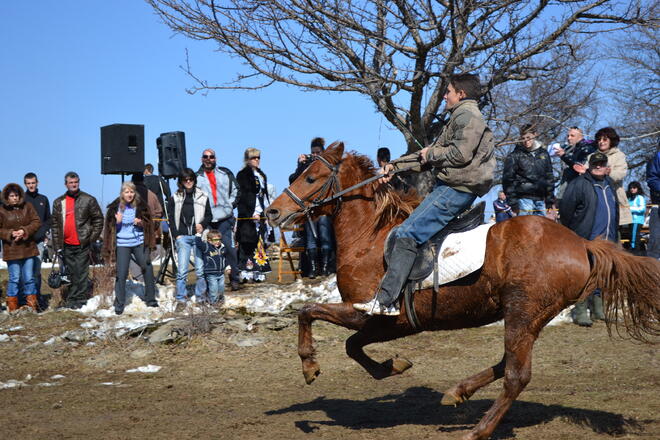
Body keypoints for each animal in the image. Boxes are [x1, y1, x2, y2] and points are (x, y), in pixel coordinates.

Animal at [264, 143, 660, 438]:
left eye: (311, 177)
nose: (272, 213)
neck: (369, 238)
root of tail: (581, 243)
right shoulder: (386, 321)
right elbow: (351, 345)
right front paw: (393, 366)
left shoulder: (378, 313)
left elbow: (310, 313)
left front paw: (310, 366)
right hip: (528, 318)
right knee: (506, 364)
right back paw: (458, 392)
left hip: (522, 312)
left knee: (517, 376)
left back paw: (478, 430)